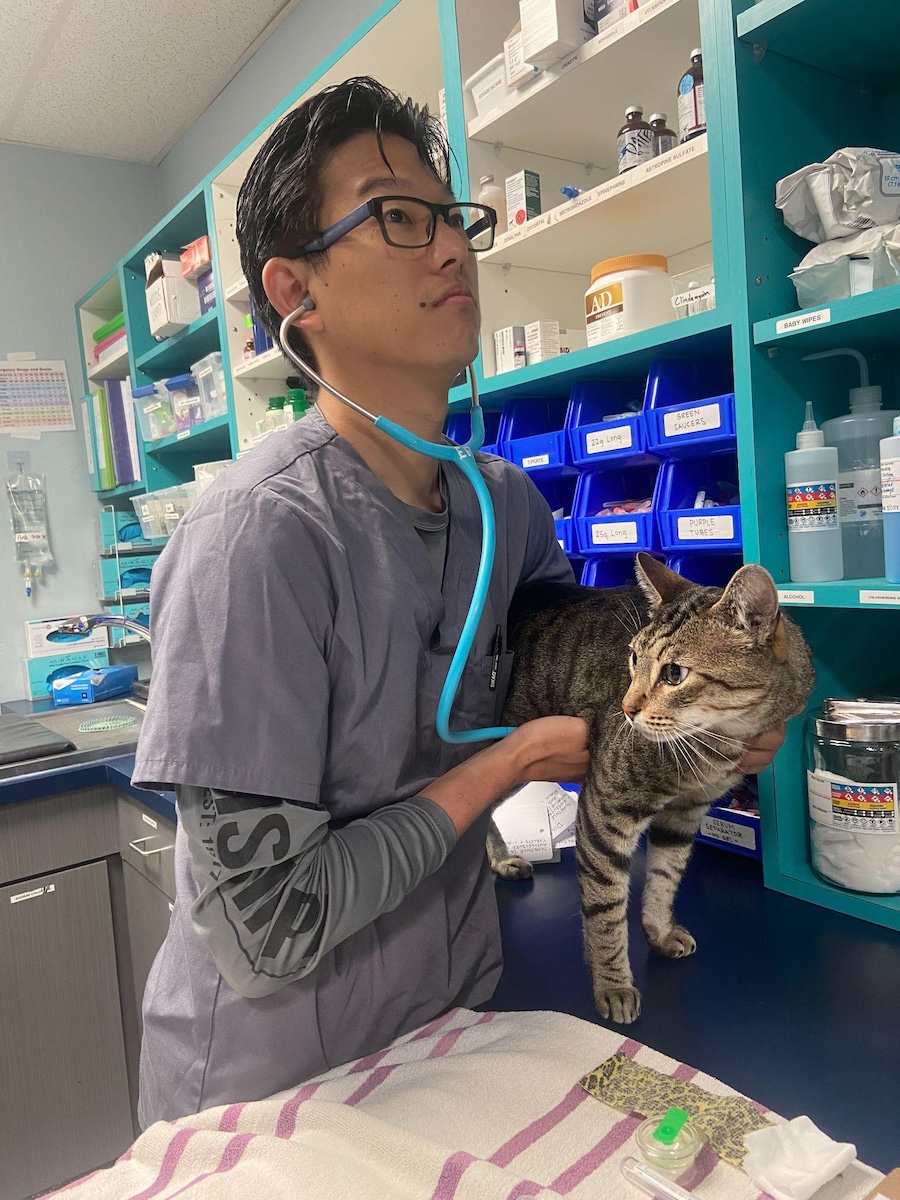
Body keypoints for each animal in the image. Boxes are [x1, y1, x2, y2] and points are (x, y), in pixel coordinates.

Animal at [494, 552, 816, 1022]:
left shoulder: (685, 814)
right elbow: (605, 909)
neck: (717, 743)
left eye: (674, 673)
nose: (627, 708)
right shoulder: (604, 812)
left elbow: (665, 877)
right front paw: (613, 984)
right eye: (632, 659)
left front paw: (659, 932)